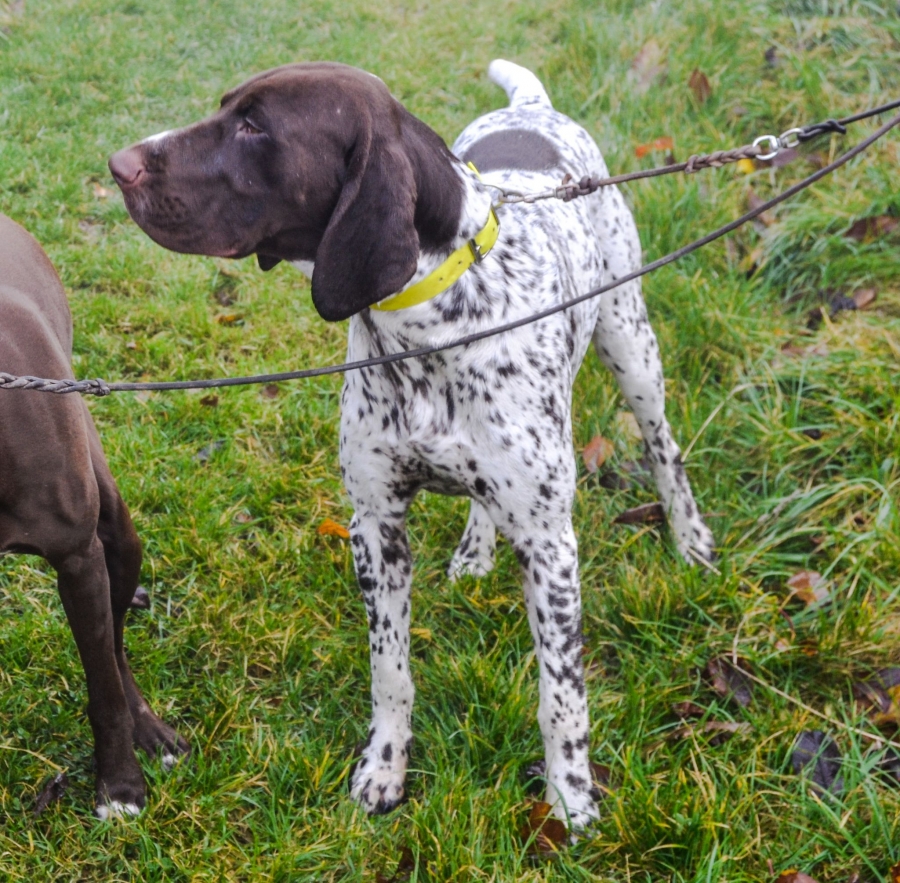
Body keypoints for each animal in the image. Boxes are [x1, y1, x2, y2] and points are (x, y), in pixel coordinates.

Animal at [0, 213, 188, 818]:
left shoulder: (80, 559)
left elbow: (103, 685)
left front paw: (120, 785)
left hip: (117, 537)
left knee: (116, 648)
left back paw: (149, 730)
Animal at [108, 59, 714, 828]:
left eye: (254, 127)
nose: (118, 165)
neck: (429, 329)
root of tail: (533, 107)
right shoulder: (376, 527)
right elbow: (390, 673)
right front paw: (384, 767)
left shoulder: (551, 545)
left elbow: (562, 697)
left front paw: (571, 794)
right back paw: (476, 551)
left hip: (630, 343)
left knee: (665, 450)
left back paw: (690, 538)